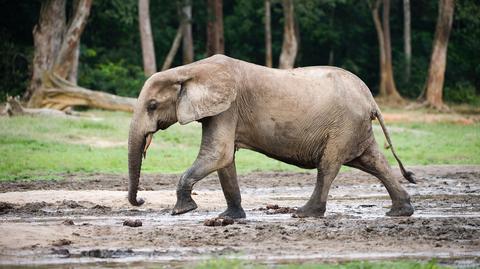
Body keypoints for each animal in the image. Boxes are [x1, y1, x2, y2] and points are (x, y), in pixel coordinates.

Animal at [128, 54, 416, 218]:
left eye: (152, 105)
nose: (141, 200)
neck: (188, 71)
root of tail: (370, 98)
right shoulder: (224, 110)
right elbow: (225, 160)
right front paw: (229, 218)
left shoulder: (228, 107)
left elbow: (218, 153)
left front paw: (181, 210)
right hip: (355, 128)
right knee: (373, 162)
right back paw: (400, 212)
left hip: (344, 126)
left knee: (328, 165)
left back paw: (304, 214)